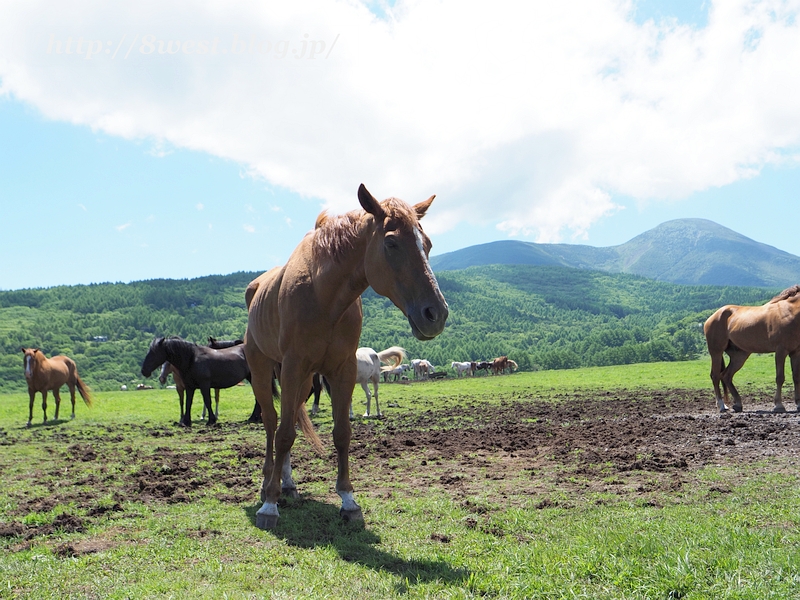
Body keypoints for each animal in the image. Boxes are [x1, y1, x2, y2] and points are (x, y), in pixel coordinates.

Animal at [244, 184, 450, 528]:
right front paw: (269, 506)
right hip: (263, 369)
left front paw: (348, 500)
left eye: (428, 244)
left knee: (291, 418)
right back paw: (267, 484)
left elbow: (342, 432)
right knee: (272, 423)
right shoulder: (293, 366)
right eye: (391, 242)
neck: (324, 295)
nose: (436, 314)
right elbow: (284, 433)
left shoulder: (342, 369)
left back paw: (287, 483)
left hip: (304, 380)